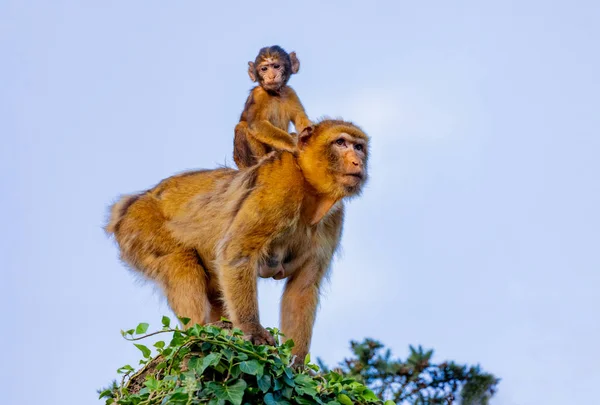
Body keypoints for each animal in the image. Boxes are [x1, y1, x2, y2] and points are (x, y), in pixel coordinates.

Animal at [105, 119, 368, 362]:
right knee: (179, 260)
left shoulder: (333, 220)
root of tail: (126, 207)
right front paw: (252, 330)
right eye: (340, 143)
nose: (358, 161)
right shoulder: (282, 184)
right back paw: (198, 332)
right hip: (139, 227)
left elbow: (302, 288)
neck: (310, 190)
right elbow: (237, 253)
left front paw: (297, 361)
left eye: (359, 147)